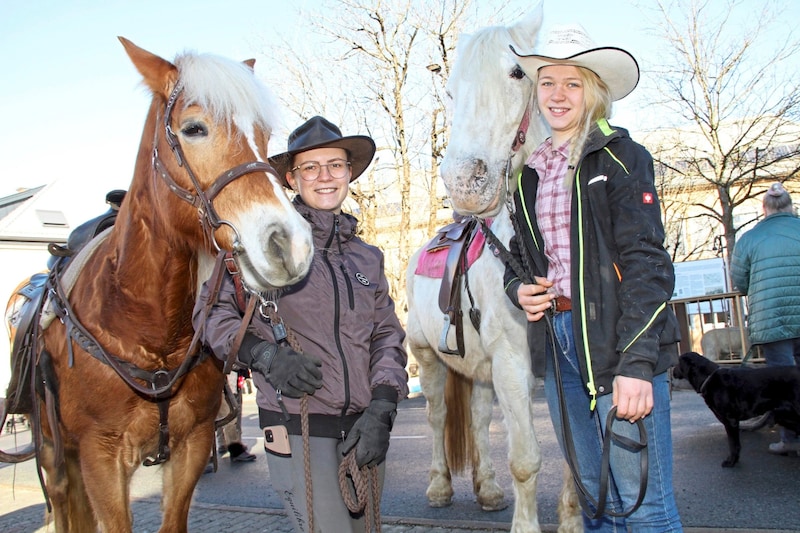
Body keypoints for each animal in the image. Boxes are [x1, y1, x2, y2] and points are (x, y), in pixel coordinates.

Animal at [3, 38, 316, 532]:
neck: (145, 326)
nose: (291, 244)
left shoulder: (191, 446)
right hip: (54, 453)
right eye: (193, 128)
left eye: (262, 133)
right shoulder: (101, 458)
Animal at [406, 5, 580, 532]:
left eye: (518, 72)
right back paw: (440, 486)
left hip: (479, 369)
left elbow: (576, 455)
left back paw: (486, 488)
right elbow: (525, 459)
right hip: (428, 358)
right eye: (449, 91)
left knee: (480, 418)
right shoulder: (511, 362)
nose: (464, 182)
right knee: (438, 417)